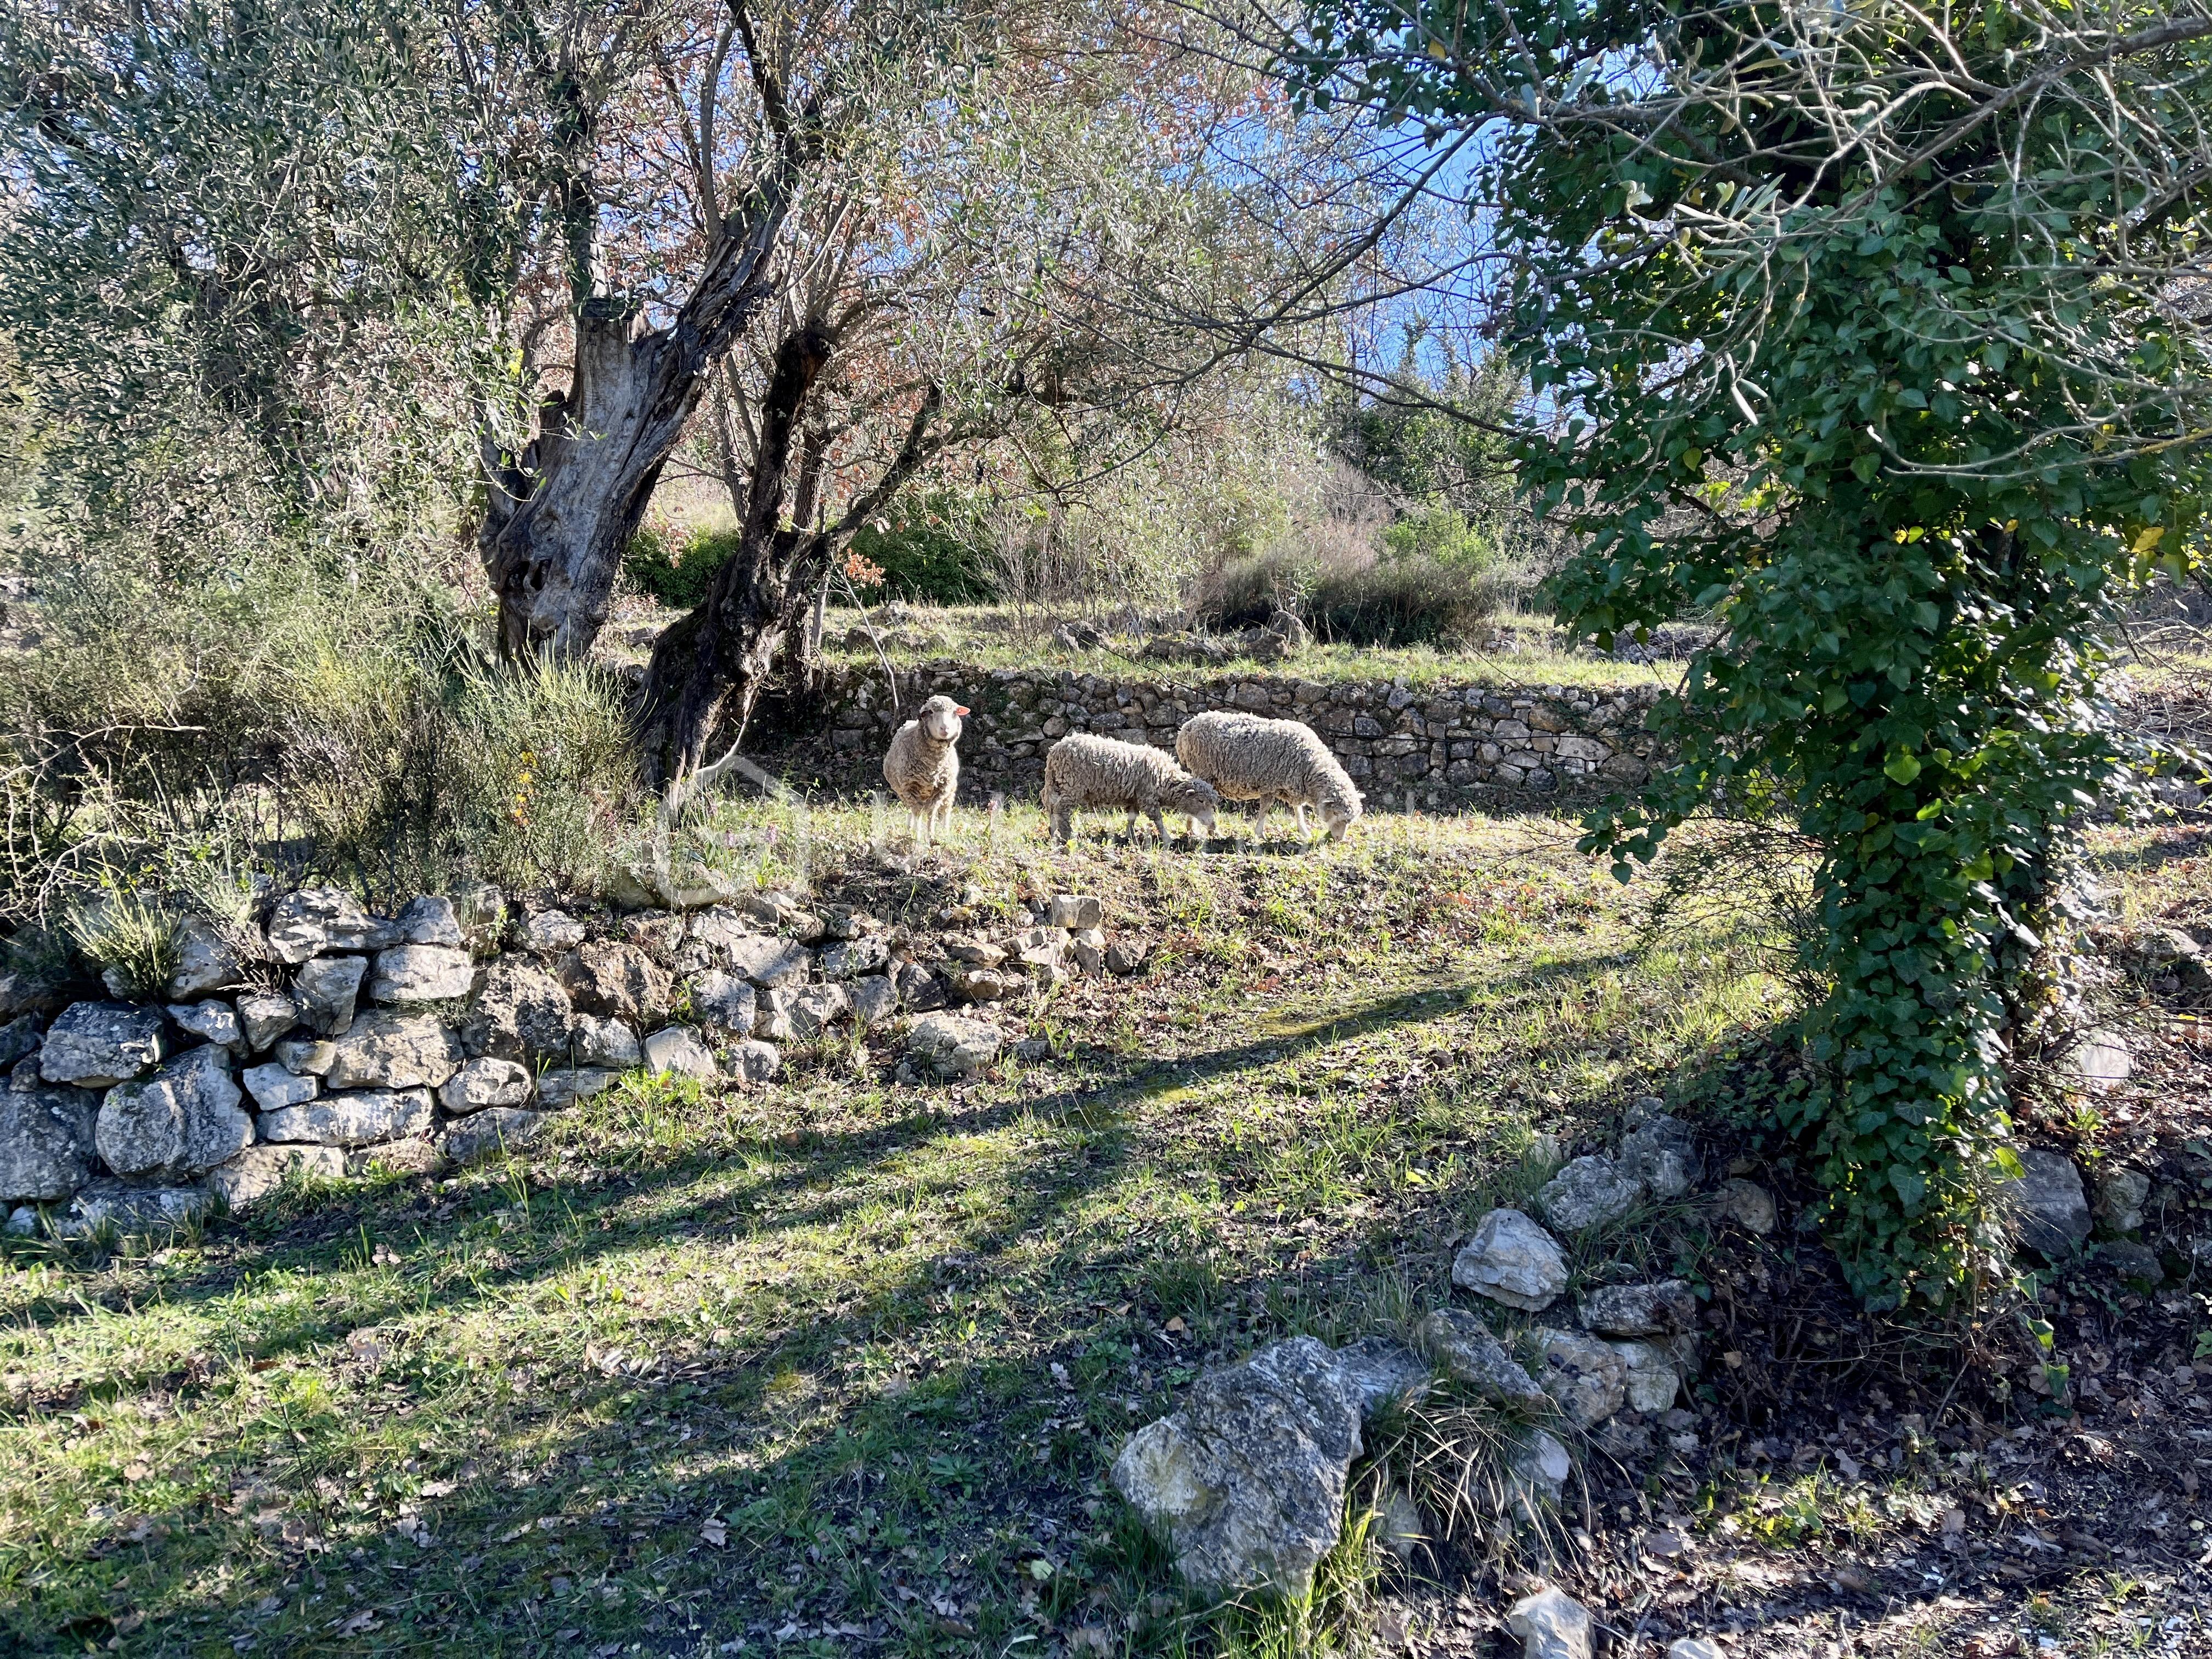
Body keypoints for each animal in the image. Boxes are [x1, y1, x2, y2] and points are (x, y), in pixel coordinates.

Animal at [883, 694, 968, 845]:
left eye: (955, 712)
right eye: (931, 712)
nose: (945, 729)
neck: (933, 765)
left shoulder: (940, 791)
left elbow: (931, 814)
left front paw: (931, 838)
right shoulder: (911, 788)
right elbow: (917, 814)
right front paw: (917, 838)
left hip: (950, 790)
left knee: (945, 812)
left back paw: (945, 833)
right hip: (905, 793)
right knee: (912, 811)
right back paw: (909, 830)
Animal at [1041, 734, 1220, 847]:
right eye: (1201, 801)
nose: (1213, 825)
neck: (1165, 780)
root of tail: (1055, 751)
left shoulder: (1135, 797)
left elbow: (1132, 818)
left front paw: (1130, 837)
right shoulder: (1148, 797)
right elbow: (1158, 819)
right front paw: (1167, 839)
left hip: (1058, 784)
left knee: (1052, 808)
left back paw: (1053, 833)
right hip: (1073, 785)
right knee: (1061, 810)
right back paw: (1068, 835)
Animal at [1174, 711, 1364, 842]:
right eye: (1337, 814)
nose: (1339, 840)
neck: (1310, 765)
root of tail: (1185, 729)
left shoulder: (1291, 786)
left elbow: (1298, 811)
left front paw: (1304, 832)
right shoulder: (1270, 784)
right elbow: (1265, 809)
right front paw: (1260, 834)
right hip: (1204, 770)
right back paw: (1198, 830)